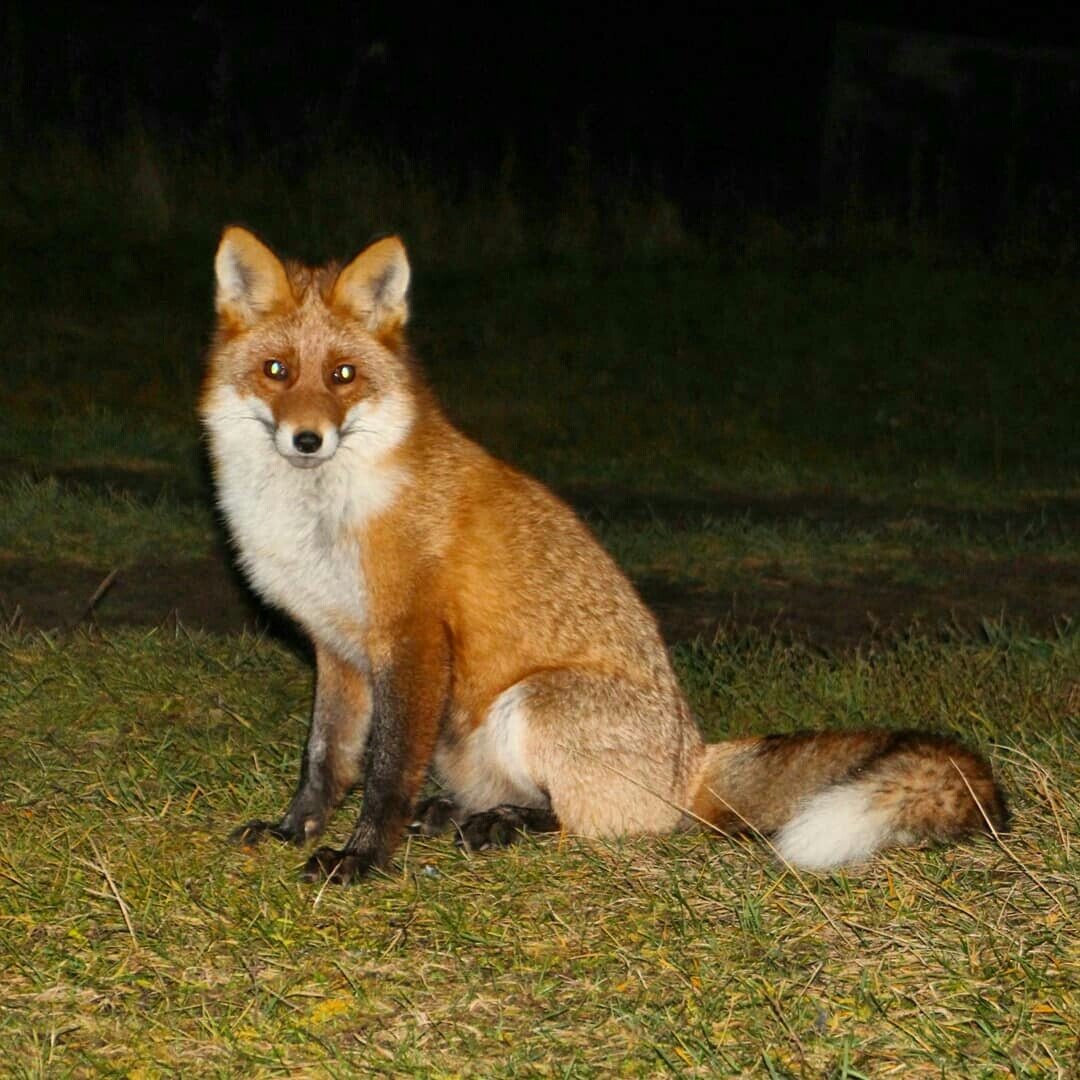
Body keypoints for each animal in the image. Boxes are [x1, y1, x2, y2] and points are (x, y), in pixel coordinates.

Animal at [198, 227, 1006, 885]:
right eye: (276, 371)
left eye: (342, 376)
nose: (307, 440)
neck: (320, 515)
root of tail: (690, 761)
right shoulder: (337, 650)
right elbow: (325, 760)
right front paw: (293, 829)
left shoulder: (413, 640)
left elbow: (385, 772)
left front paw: (363, 858)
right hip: (468, 738)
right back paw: (465, 815)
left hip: (533, 702)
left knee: (603, 826)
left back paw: (504, 827)